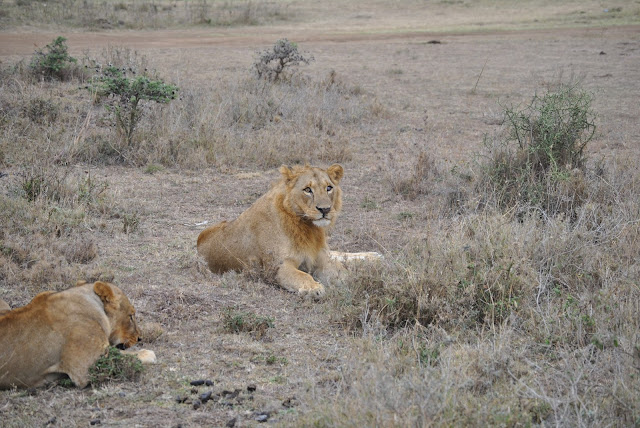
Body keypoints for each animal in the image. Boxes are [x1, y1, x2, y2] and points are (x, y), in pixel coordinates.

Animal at [198, 162, 382, 296]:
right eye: (307, 190)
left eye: (329, 188)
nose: (325, 209)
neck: (307, 227)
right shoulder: (278, 266)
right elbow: (302, 275)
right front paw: (313, 288)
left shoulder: (321, 259)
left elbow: (342, 272)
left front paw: (358, 280)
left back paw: (374, 255)